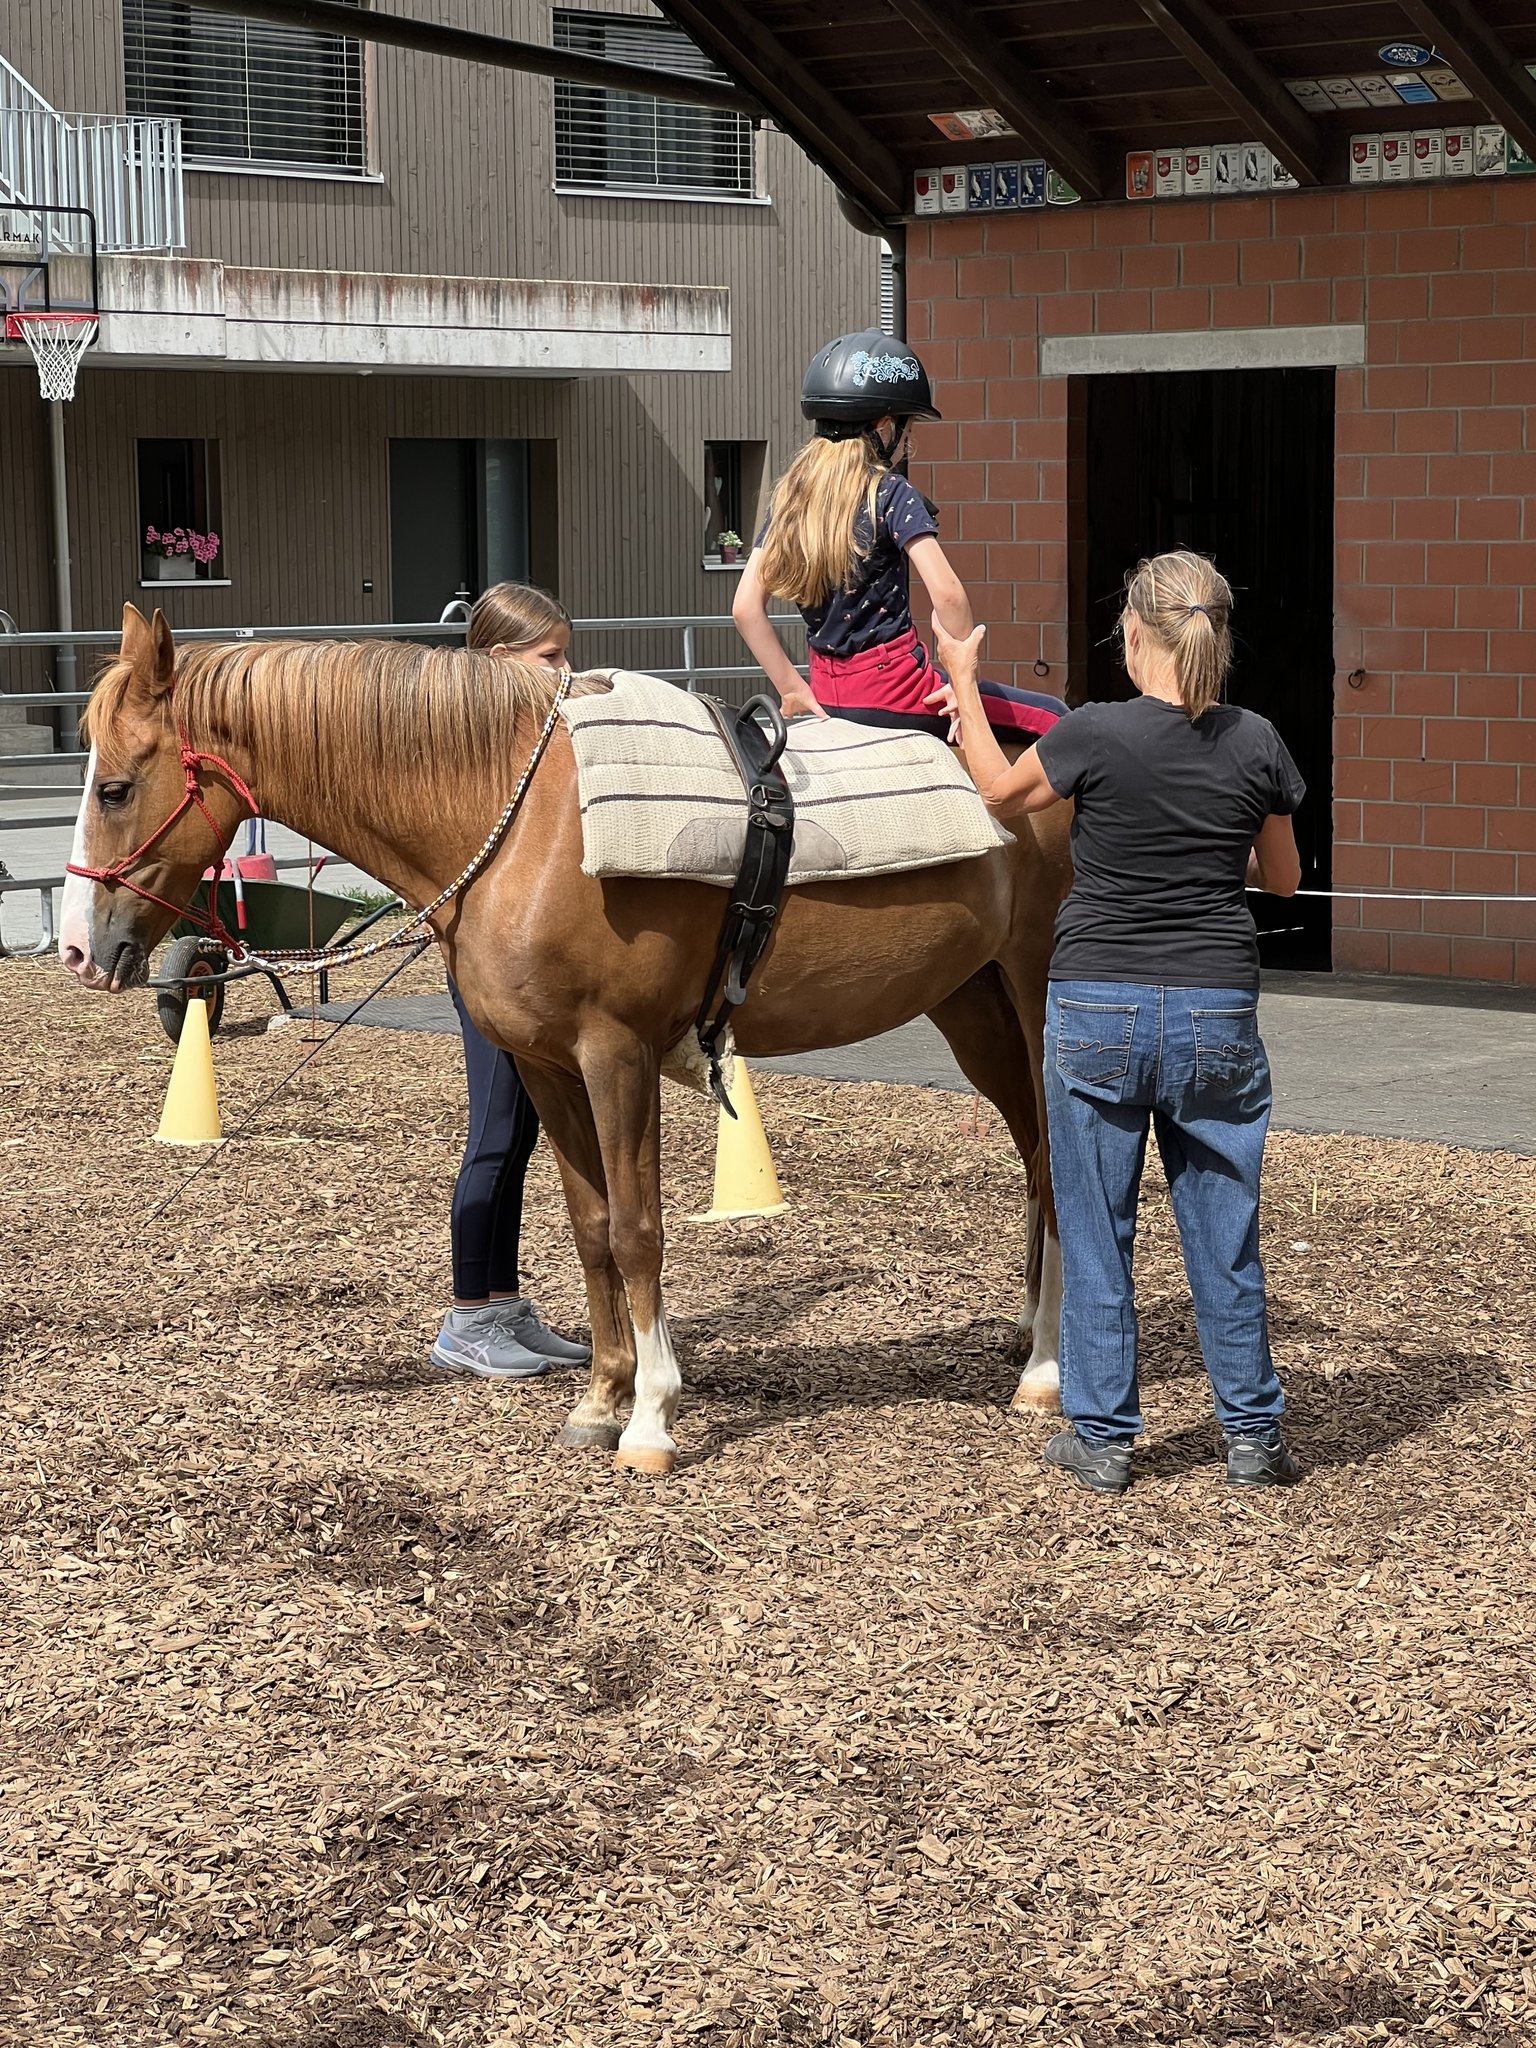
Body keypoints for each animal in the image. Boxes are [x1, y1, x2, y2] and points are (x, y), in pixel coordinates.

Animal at [60, 606, 1072, 1473]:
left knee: (1060, 1168)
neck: (525, 824)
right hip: (974, 1012)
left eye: (114, 787)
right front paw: (599, 1401)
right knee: (1034, 1162)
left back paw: (1046, 1376)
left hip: (1037, 1005)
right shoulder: (547, 1066)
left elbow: (636, 1230)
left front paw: (651, 1419)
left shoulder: (617, 1055)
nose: (80, 948)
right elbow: (590, 1230)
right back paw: (1033, 1335)